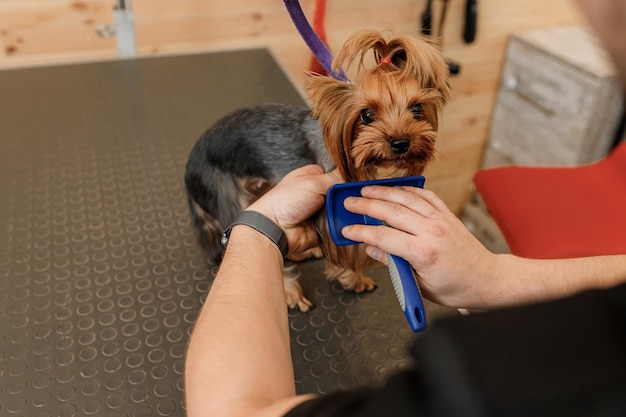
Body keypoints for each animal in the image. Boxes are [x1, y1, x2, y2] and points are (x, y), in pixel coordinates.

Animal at [183, 30, 446, 308]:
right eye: (366, 115)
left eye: (417, 109)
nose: (400, 143)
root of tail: (190, 166)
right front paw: (354, 279)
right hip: (225, 193)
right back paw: (289, 291)